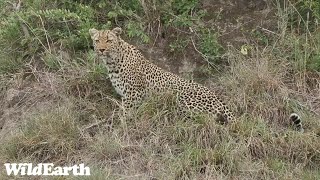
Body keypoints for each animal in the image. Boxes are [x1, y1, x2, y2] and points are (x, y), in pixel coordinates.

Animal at [89, 26, 304, 129]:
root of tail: (219, 98)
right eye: (97, 40)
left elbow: (123, 114)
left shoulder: (134, 96)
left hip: (184, 98)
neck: (113, 62)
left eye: (108, 40)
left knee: (209, 120)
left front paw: (113, 123)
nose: (100, 50)